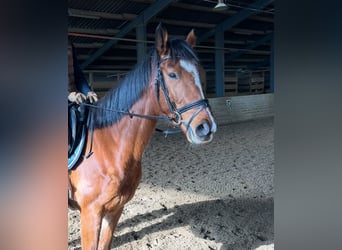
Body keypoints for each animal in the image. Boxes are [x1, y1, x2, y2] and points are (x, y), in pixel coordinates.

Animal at [68, 22, 218, 249]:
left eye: (201, 72)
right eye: (172, 74)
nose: (205, 128)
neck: (110, 147)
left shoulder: (115, 209)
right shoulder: (90, 214)